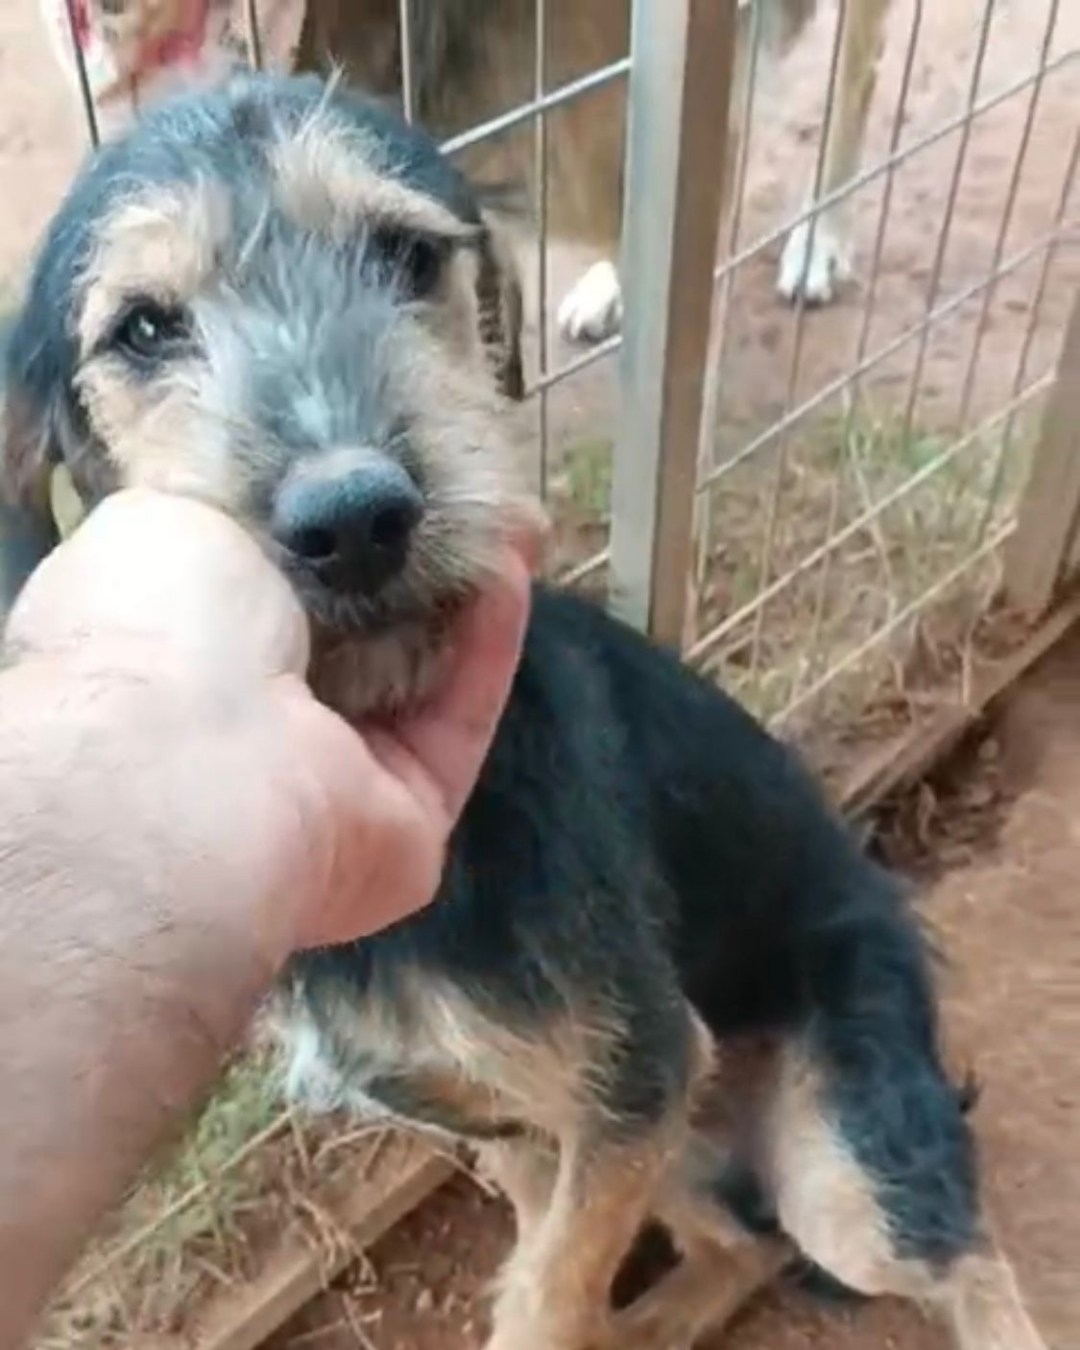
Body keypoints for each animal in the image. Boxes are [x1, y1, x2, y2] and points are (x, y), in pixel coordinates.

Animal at [0, 74, 1048, 1350]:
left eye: (406, 255)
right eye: (144, 328)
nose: (354, 518)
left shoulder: (640, 1072)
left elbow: (550, 1294)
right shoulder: (513, 1119)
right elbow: (547, 1253)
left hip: (837, 1161)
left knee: (961, 1253)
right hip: (695, 1146)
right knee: (744, 1248)